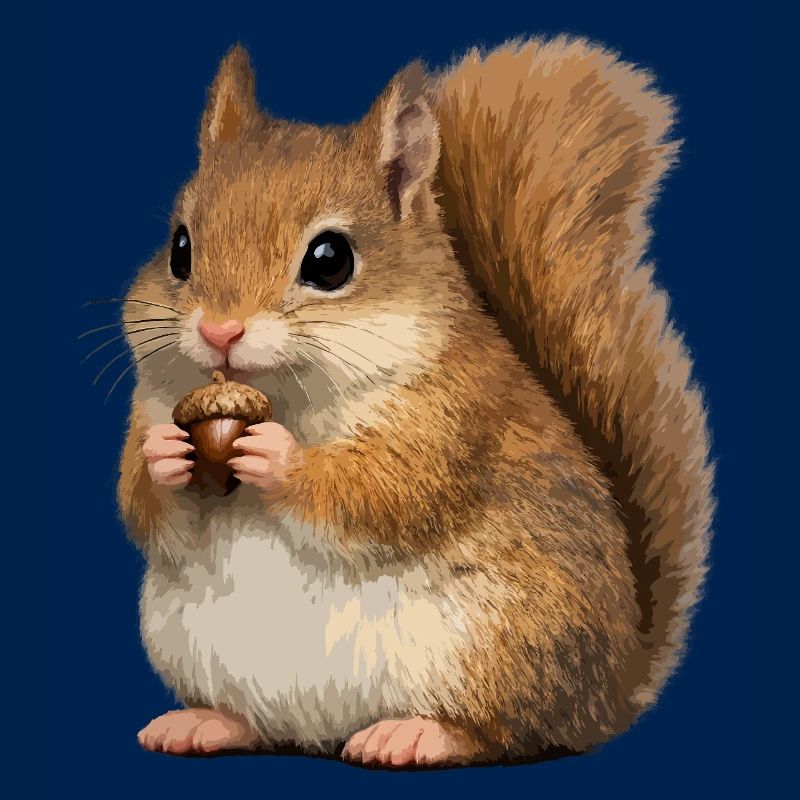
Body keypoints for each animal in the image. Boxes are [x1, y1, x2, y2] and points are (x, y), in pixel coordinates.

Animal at [118, 37, 713, 767]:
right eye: (179, 248)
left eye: (330, 260)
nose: (219, 332)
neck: (286, 395)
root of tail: (610, 691)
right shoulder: (152, 402)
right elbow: (144, 508)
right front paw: (163, 458)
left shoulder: (452, 416)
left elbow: (387, 491)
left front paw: (280, 458)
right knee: (259, 724)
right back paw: (207, 722)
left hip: (501, 646)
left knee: (506, 733)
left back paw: (416, 734)